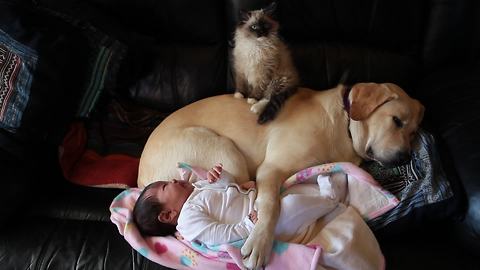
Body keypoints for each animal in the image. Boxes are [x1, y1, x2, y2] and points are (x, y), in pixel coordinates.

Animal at [137, 83, 422, 268]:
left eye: (413, 133)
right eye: (396, 121)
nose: (406, 157)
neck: (342, 125)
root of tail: (141, 177)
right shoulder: (271, 169)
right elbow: (271, 205)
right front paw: (260, 242)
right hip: (227, 151)